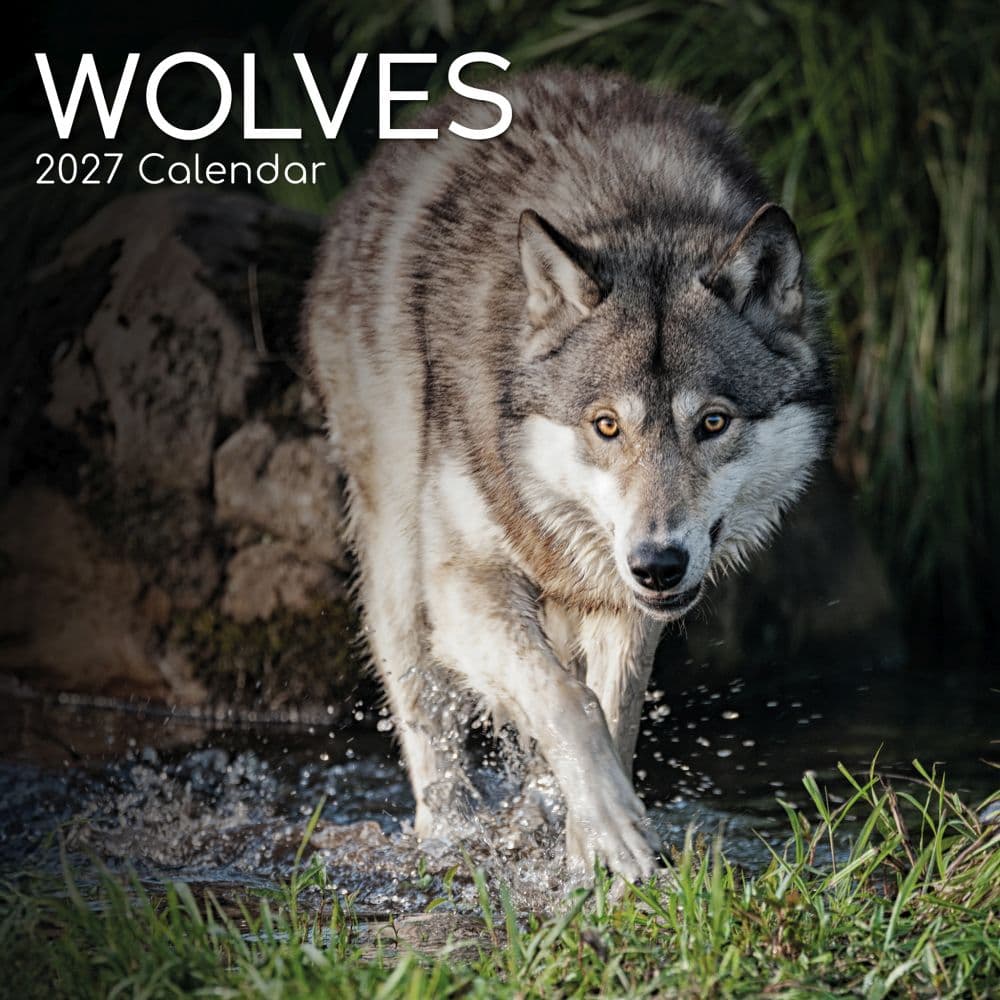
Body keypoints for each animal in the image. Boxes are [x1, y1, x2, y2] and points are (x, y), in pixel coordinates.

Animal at [304, 69, 833, 880]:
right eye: (606, 425)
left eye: (712, 423)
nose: (658, 563)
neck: (635, 209)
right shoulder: (462, 583)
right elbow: (567, 702)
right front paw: (609, 823)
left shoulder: (625, 606)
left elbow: (610, 714)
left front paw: (592, 861)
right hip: (398, 565)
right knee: (426, 708)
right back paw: (447, 837)